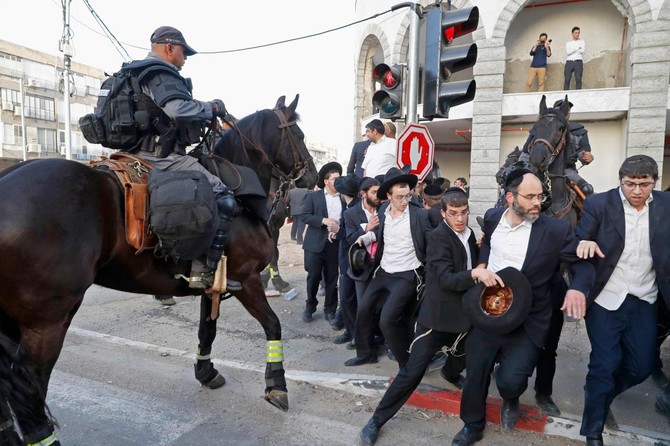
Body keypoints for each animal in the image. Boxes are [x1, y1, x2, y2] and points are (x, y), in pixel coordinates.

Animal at [0, 94, 318, 442]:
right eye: (299, 135)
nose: (314, 177)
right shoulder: (246, 279)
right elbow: (273, 325)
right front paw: (276, 385)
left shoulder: (213, 285)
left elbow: (207, 329)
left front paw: (206, 372)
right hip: (47, 322)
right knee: (27, 389)